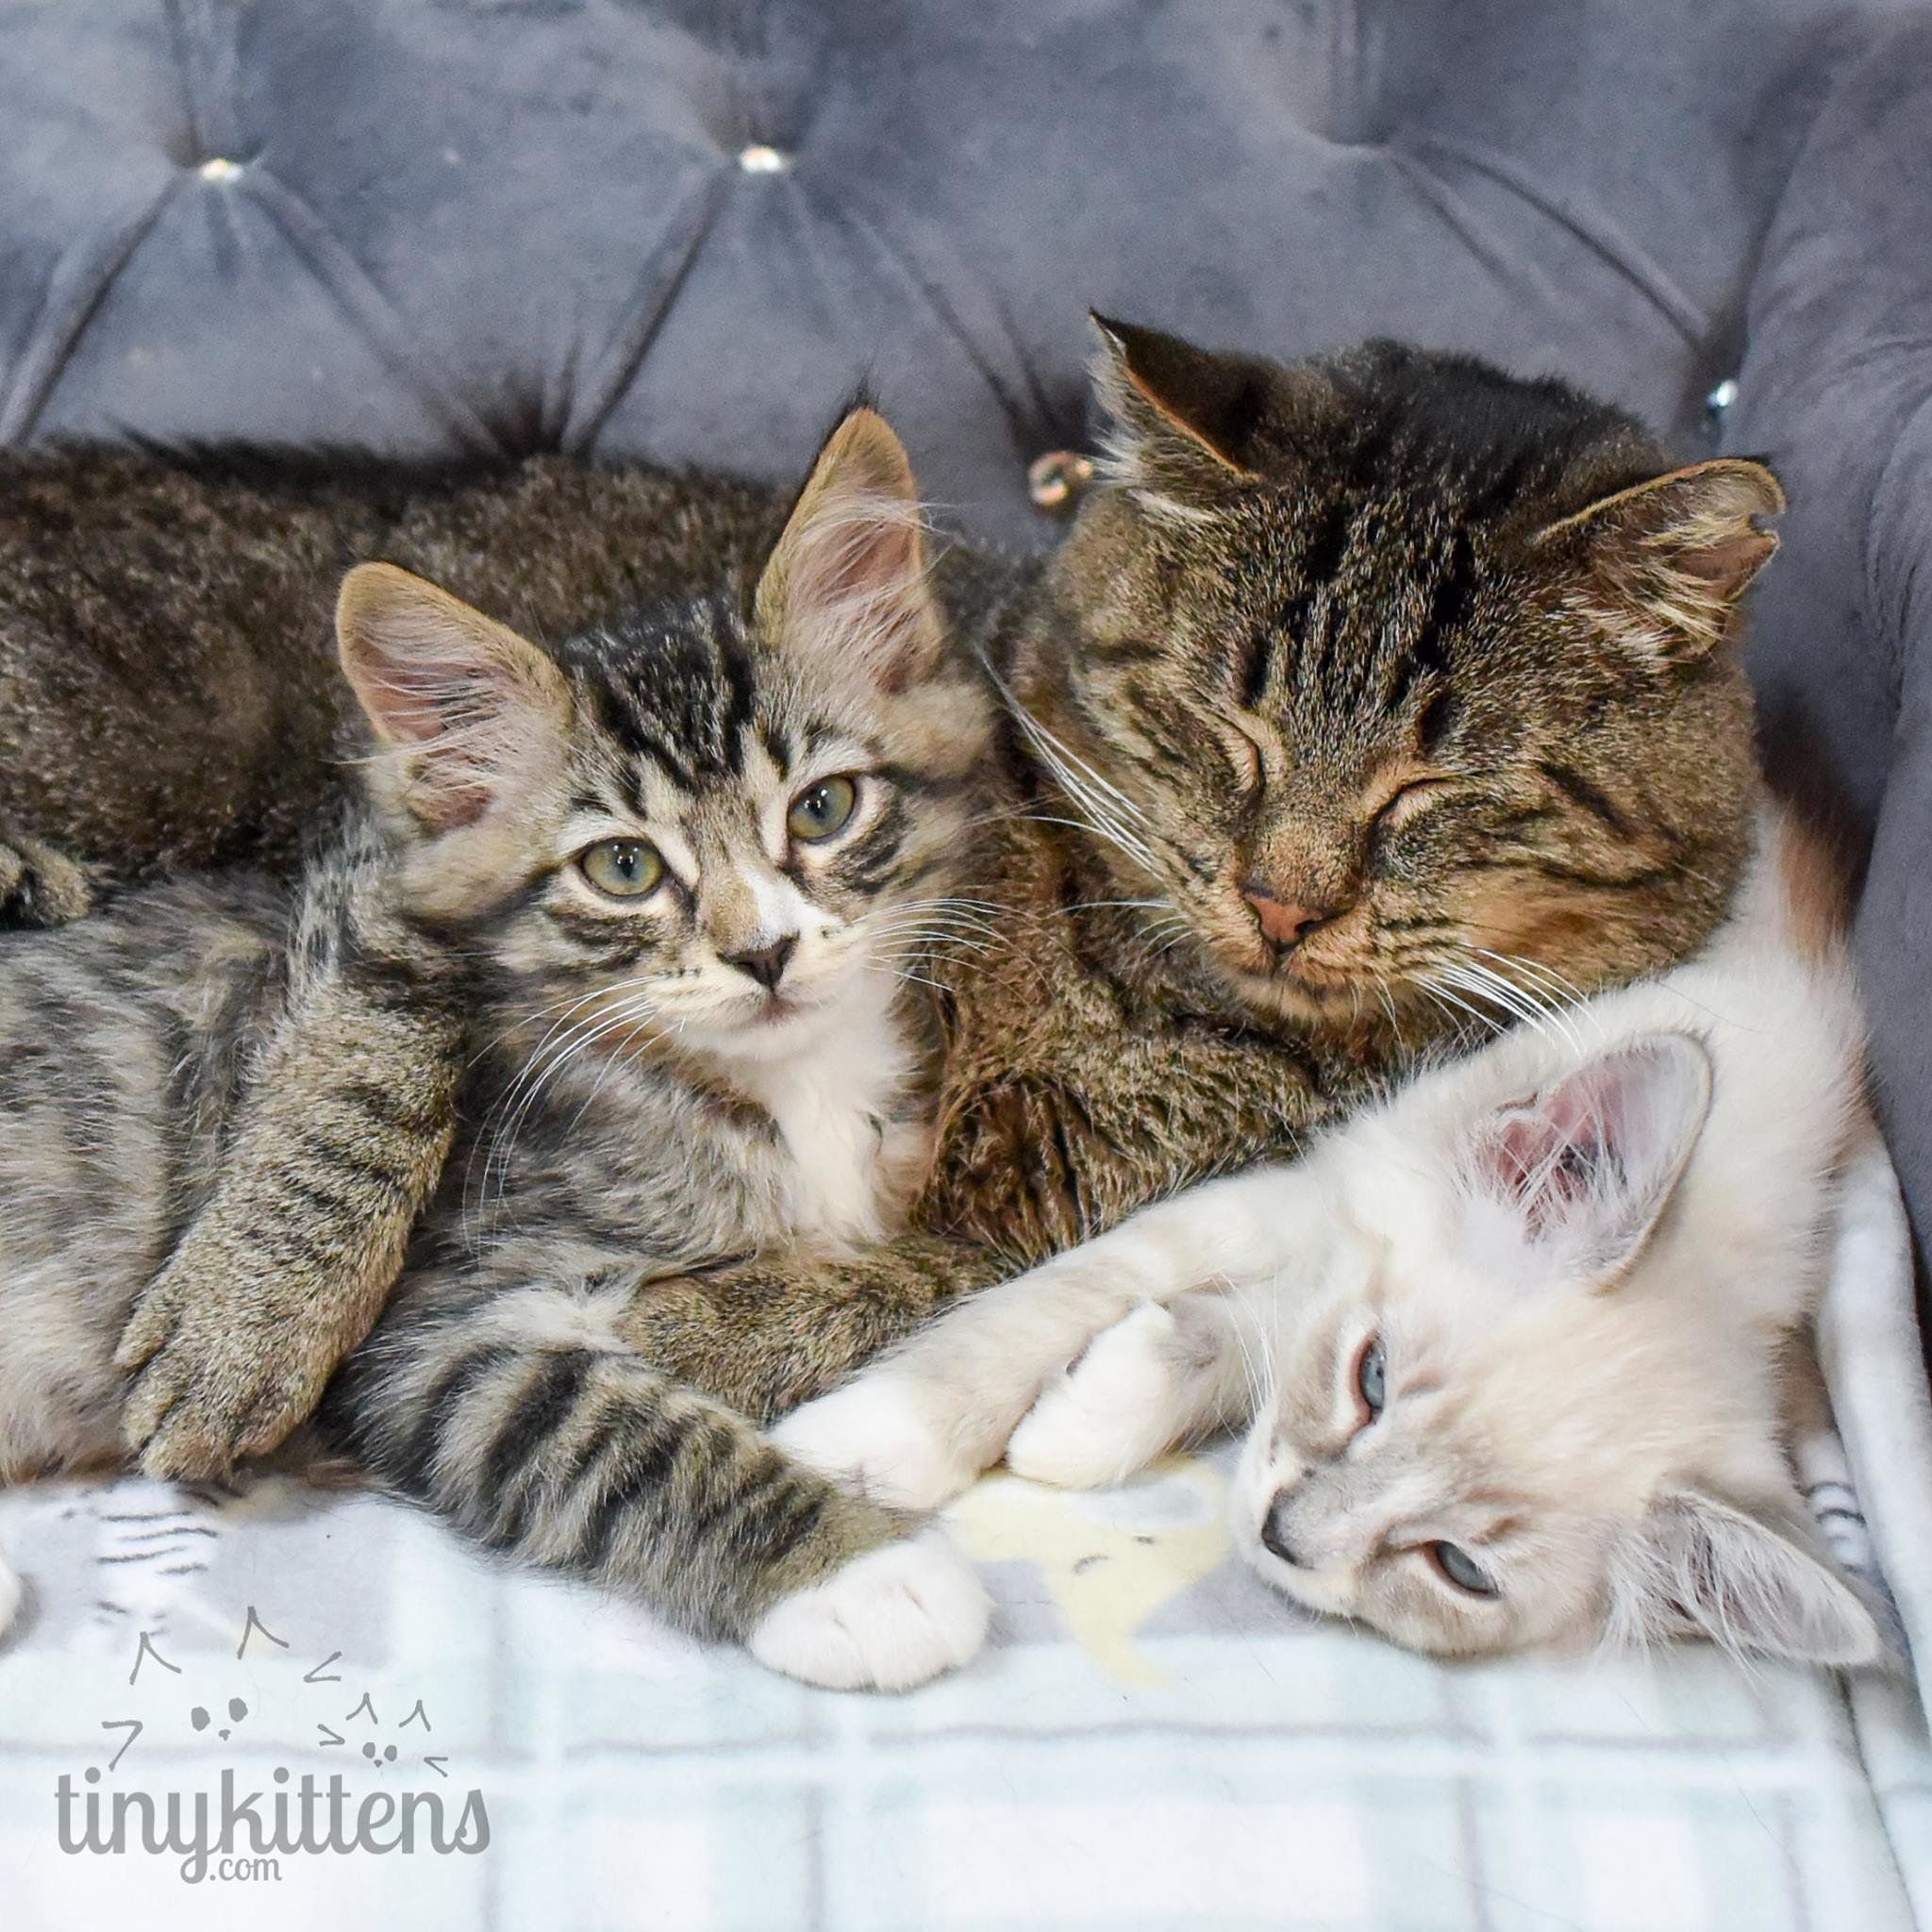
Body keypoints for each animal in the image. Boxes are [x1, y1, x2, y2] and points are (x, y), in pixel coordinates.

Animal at [0, 411, 996, 1692]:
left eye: (823, 808)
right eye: (623, 867)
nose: (764, 951)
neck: (792, 1090)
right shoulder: (438, 1329)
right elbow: (620, 1442)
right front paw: (860, 1575)